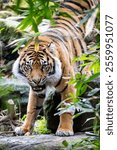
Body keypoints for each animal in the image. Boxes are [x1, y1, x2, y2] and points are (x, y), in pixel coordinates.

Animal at [12, 0, 98, 136]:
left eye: (44, 65)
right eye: (28, 66)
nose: (36, 80)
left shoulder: (68, 84)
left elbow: (66, 109)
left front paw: (64, 130)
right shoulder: (35, 90)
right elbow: (31, 108)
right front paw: (24, 128)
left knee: (95, 53)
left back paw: (86, 71)